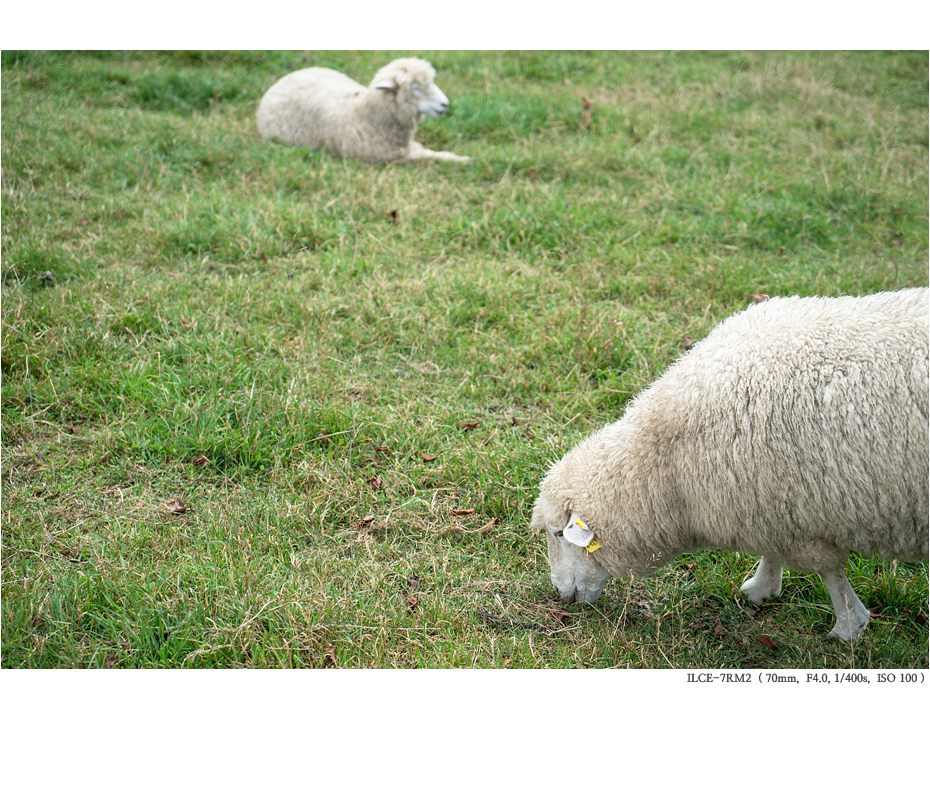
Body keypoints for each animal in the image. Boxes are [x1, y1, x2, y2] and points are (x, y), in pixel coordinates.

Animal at [256, 58, 471, 165]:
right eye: (415, 88)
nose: (445, 104)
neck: (365, 113)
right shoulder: (387, 157)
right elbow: (429, 155)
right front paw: (464, 160)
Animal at [531, 288, 929, 641]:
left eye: (558, 535)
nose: (560, 596)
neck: (668, 466)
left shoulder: (800, 519)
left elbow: (829, 572)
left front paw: (848, 626)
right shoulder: (768, 504)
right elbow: (774, 552)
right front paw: (762, 588)